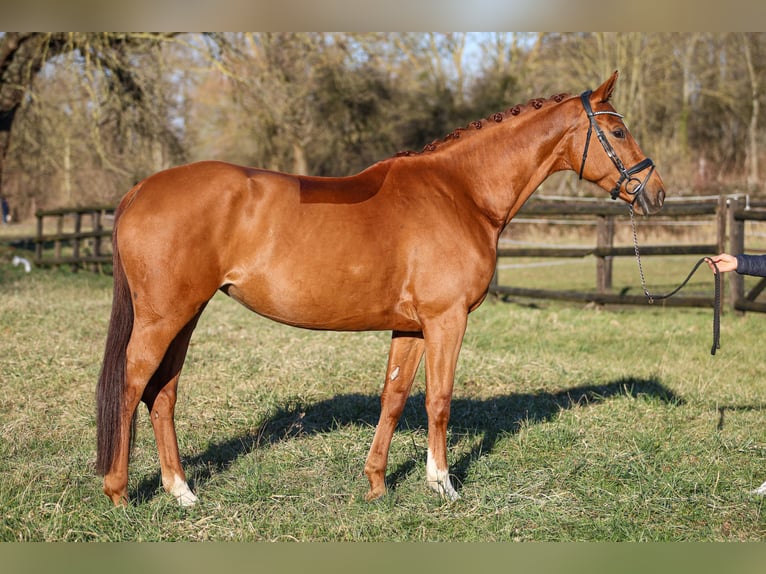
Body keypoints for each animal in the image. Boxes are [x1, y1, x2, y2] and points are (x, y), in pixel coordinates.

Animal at [94, 70, 664, 506]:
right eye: (617, 132)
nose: (655, 192)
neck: (460, 193)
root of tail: (140, 189)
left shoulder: (410, 328)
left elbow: (393, 397)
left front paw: (376, 484)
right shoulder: (446, 320)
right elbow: (439, 400)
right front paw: (443, 485)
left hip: (185, 315)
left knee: (163, 393)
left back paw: (182, 492)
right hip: (164, 317)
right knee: (132, 384)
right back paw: (119, 492)